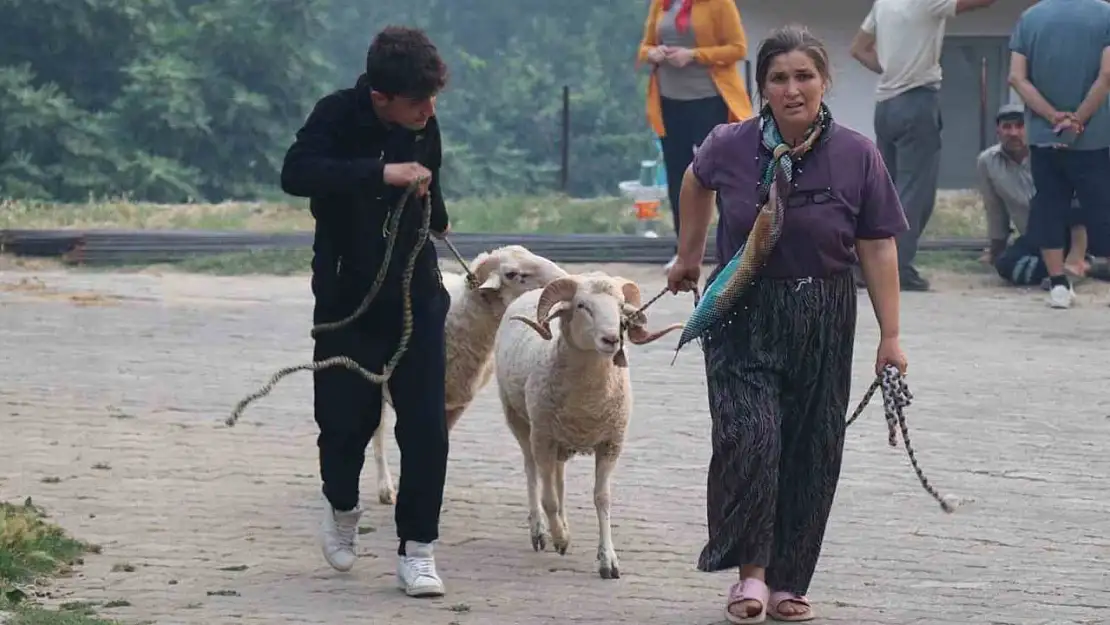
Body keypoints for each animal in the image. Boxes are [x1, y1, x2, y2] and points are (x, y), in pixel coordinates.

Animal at [497, 271, 683, 581]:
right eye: (582, 305)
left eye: (621, 307)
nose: (612, 339)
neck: (586, 403)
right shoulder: (542, 438)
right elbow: (547, 498)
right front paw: (559, 538)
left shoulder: (611, 443)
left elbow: (601, 498)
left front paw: (607, 560)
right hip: (520, 421)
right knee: (533, 474)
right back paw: (541, 531)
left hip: (559, 441)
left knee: (558, 478)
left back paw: (563, 525)